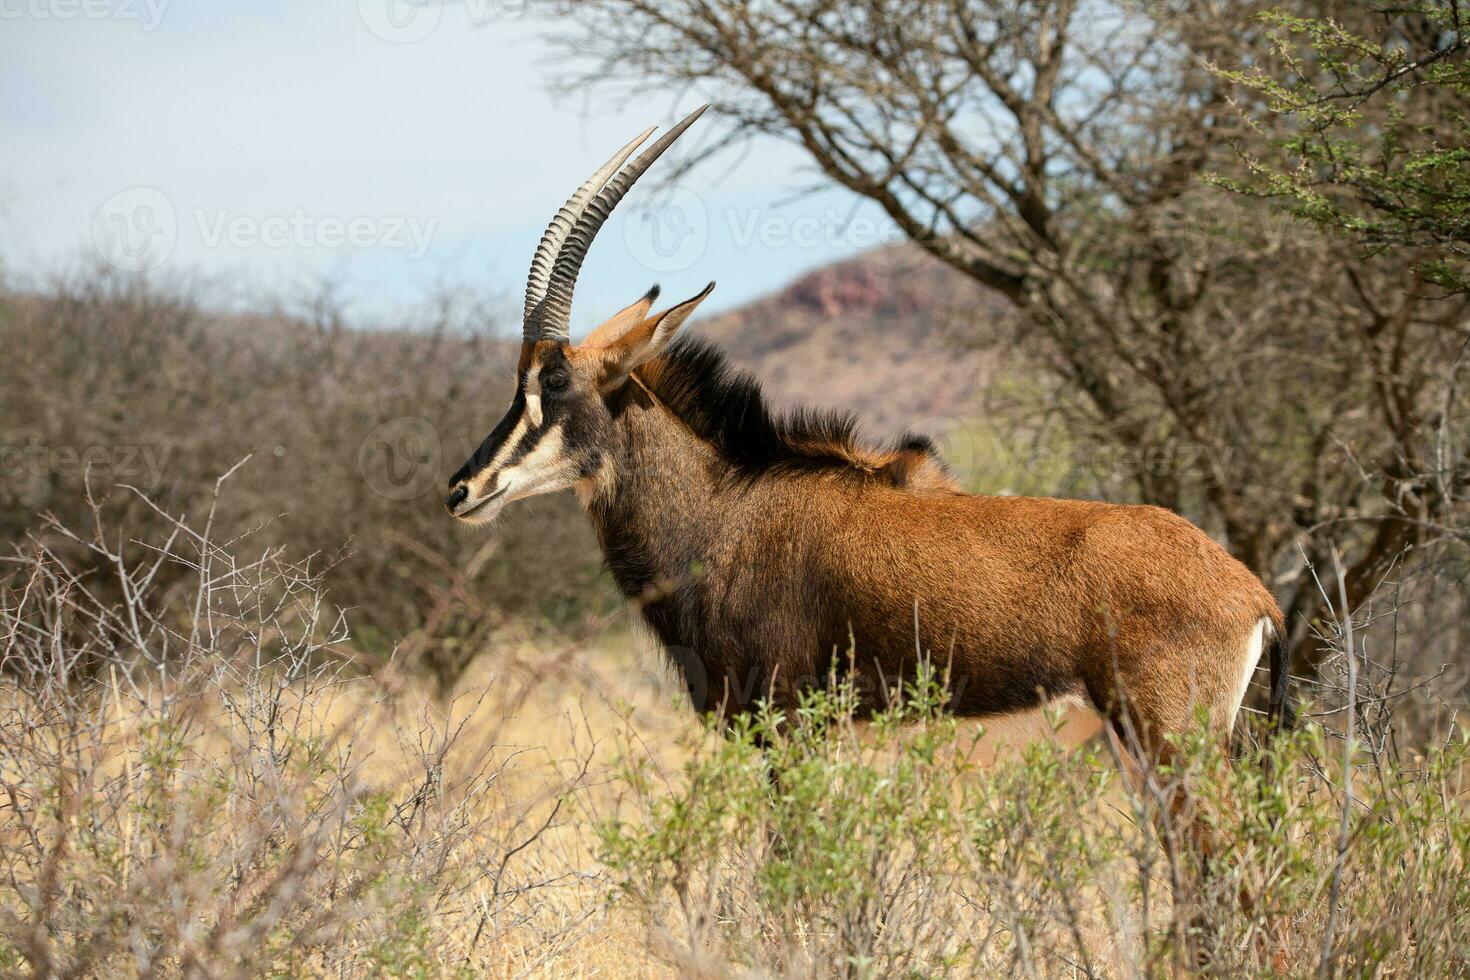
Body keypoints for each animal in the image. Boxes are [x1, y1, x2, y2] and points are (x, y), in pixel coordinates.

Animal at [441, 105, 1293, 764]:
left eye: (553, 383)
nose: (462, 489)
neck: (727, 512)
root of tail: (1255, 595)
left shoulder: (786, 727)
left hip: (1169, 745)